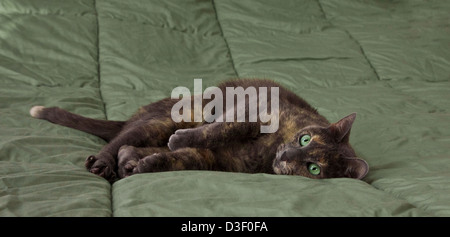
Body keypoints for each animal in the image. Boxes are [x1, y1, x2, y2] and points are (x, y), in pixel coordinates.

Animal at [29, 78, 370, 182]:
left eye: (313, 168)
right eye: (304, 138)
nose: (287, 155)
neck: (268, 152)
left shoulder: (215, 161)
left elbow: (180, 158)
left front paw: (146, 166)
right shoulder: (256, 111)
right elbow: (225, 128)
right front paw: (182, 140)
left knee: (128, 146)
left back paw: (128, 164)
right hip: (168, 119)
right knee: (117, 141)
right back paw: (103, 163)